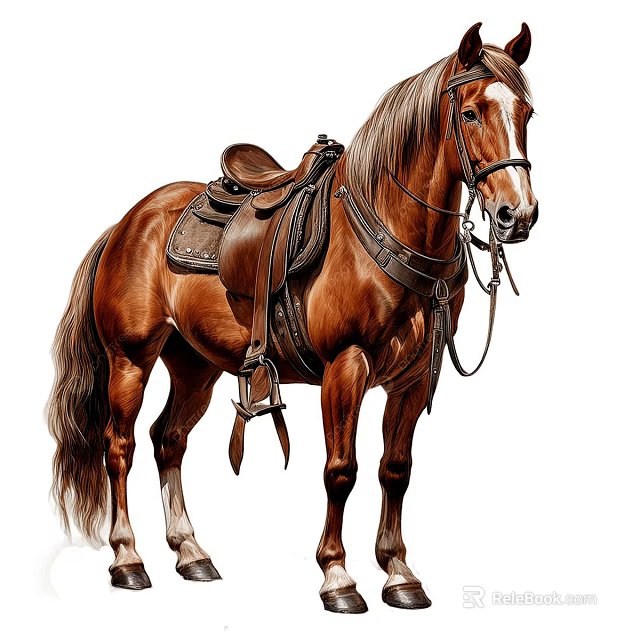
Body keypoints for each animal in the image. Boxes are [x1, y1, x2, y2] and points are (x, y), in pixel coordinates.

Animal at [47, 22, 537, 613]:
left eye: (527, 114)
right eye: (469, 113)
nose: (518, 214)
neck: (382, 230)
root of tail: (126, 224)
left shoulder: (412, 380)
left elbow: (395, 471)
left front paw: (399, 573)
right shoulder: (345, 368)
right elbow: (341, 471)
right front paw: (338, 577)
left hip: (195, 366)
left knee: (169, 439)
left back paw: (191, 552)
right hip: (130, 360)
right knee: (119, 447)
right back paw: (128, 559)